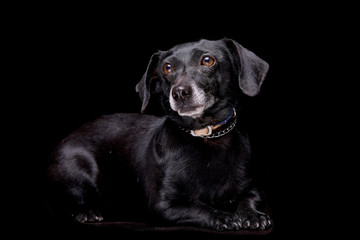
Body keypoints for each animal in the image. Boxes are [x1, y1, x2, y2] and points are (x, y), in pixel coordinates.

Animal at [48, 37, 272, 231]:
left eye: (208, 60)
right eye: (167, 67)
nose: (179, 92)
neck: (206, 137)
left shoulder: (252, 189)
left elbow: (247, 200)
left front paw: (253, 215)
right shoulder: (164, 205)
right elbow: (199, 207)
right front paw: (223, 216)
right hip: (75, 169)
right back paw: (86, 212)